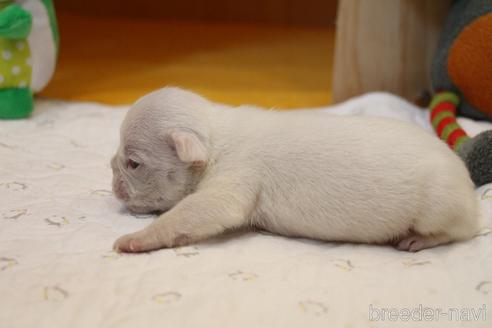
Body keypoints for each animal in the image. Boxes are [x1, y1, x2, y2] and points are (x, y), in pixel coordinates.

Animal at [111, 86, 480, 251]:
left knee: (456, 232)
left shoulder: (234, 180)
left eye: (133, 163)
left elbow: (194, 212)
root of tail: (470, 192)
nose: (112, 182)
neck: (215, 138)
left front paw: (135, 239)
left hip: (437, 205)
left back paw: (417, 239)